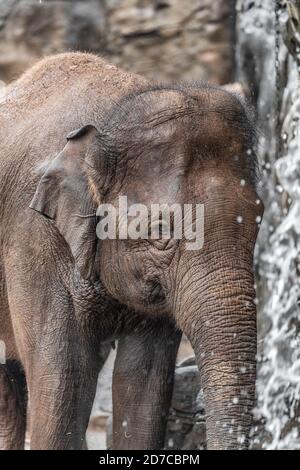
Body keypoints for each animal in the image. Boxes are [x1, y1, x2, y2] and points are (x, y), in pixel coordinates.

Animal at [0, 52, 262, 452]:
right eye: (161, 230)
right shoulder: (33, 237)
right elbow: (63, 385)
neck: (113, 110)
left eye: (258, 220)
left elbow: (144, 383)